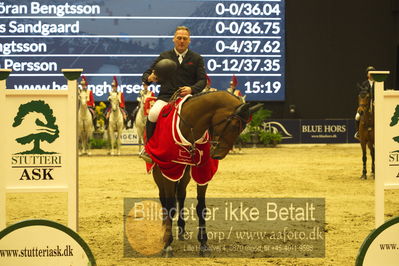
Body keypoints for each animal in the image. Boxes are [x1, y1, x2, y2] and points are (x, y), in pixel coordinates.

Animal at [152, 90, 260, 256]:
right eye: (234, 126)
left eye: (242, 129)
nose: (219, 155)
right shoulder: (169, 169)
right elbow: (169, 206)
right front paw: (167, 244)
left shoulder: (202, 172)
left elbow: (201, 208)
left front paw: (203, 244)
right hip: (159, 172)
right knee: (164, 198)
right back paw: (164, 231)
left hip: (185, 173)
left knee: (181, 195)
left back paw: (181, 230)